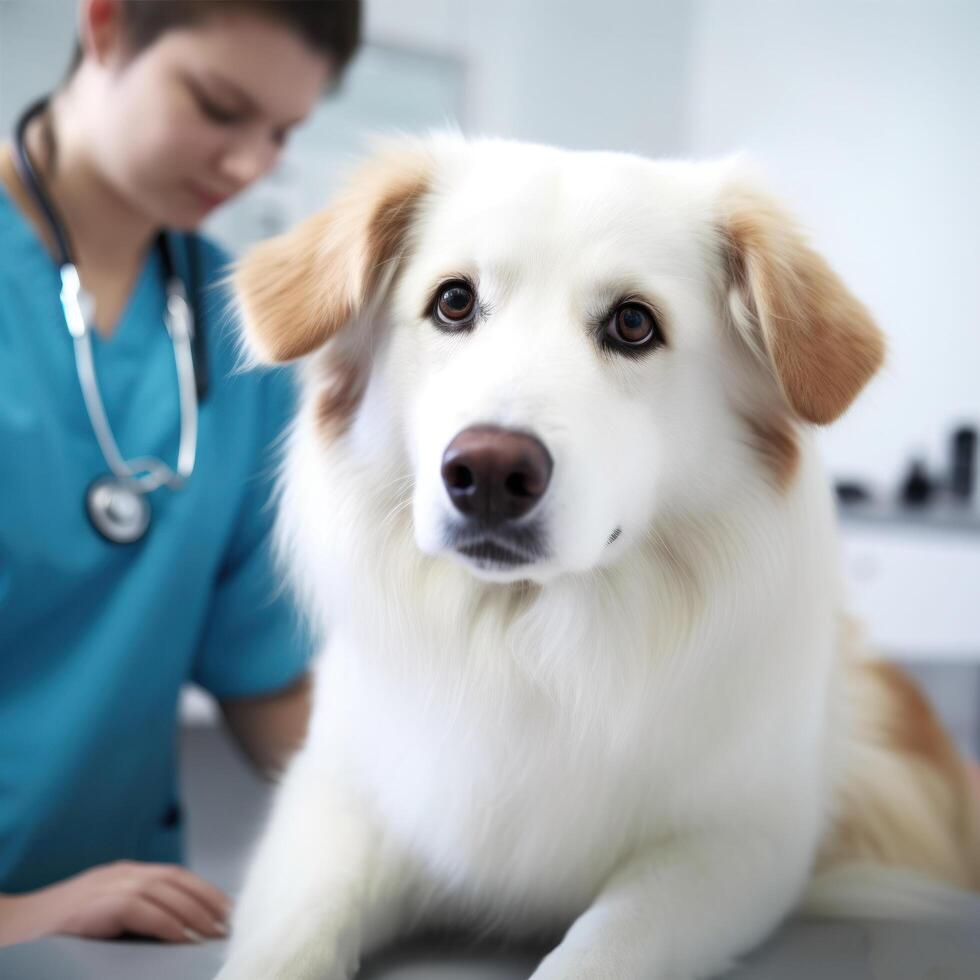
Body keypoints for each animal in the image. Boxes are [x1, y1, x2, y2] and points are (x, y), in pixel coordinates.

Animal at [216, 138, 980, 980]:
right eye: (453, 303)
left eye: (633, 323)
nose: (488, 473)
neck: (527, 642)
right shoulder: (334, 802)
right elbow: (289, 938)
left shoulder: (738, 847)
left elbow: (602, 947)